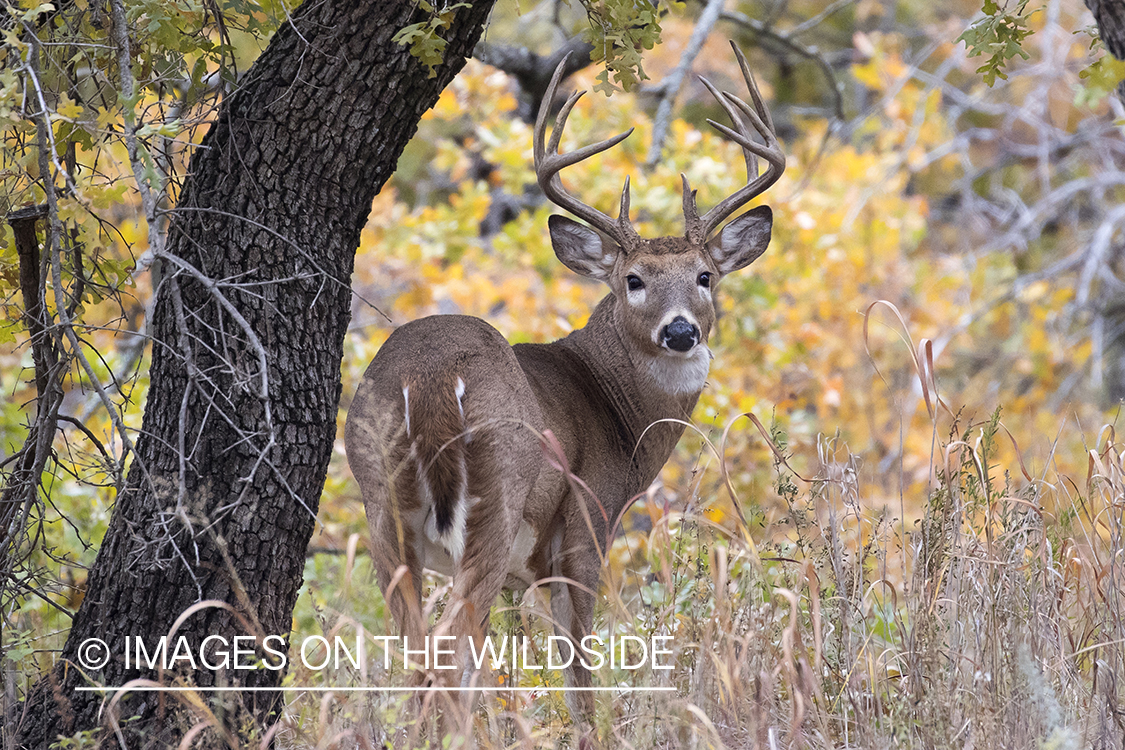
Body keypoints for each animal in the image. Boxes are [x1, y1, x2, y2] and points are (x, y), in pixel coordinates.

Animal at [346, 41, 787, 733]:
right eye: (633, 279)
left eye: (706, 275)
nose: (681, 330)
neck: (619, 417)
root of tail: (433, 379)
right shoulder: (586, 527)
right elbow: (579, 675)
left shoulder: (517, 577)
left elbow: (502, 670)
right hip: (497, 496)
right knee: (445, 649)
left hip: (380, 506)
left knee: (419, 657)